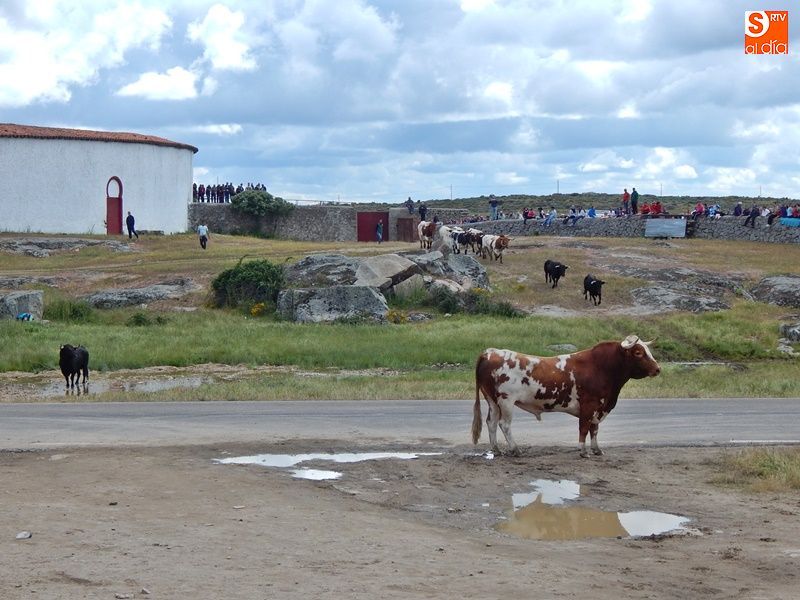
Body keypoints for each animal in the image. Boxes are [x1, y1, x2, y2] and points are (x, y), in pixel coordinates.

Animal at [472, 335, 660, 458]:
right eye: (638, 353)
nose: (658, 369)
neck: (601, 367)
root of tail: (490, 352)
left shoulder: (599, 407)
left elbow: (594, 429)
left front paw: (597, 449)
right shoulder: (589, 405)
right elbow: (584, 428)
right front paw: (583, 451)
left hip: (492, 401)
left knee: (491, 422)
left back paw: (496, 450)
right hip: (506, 401)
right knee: (504, 425)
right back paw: (515, 449)